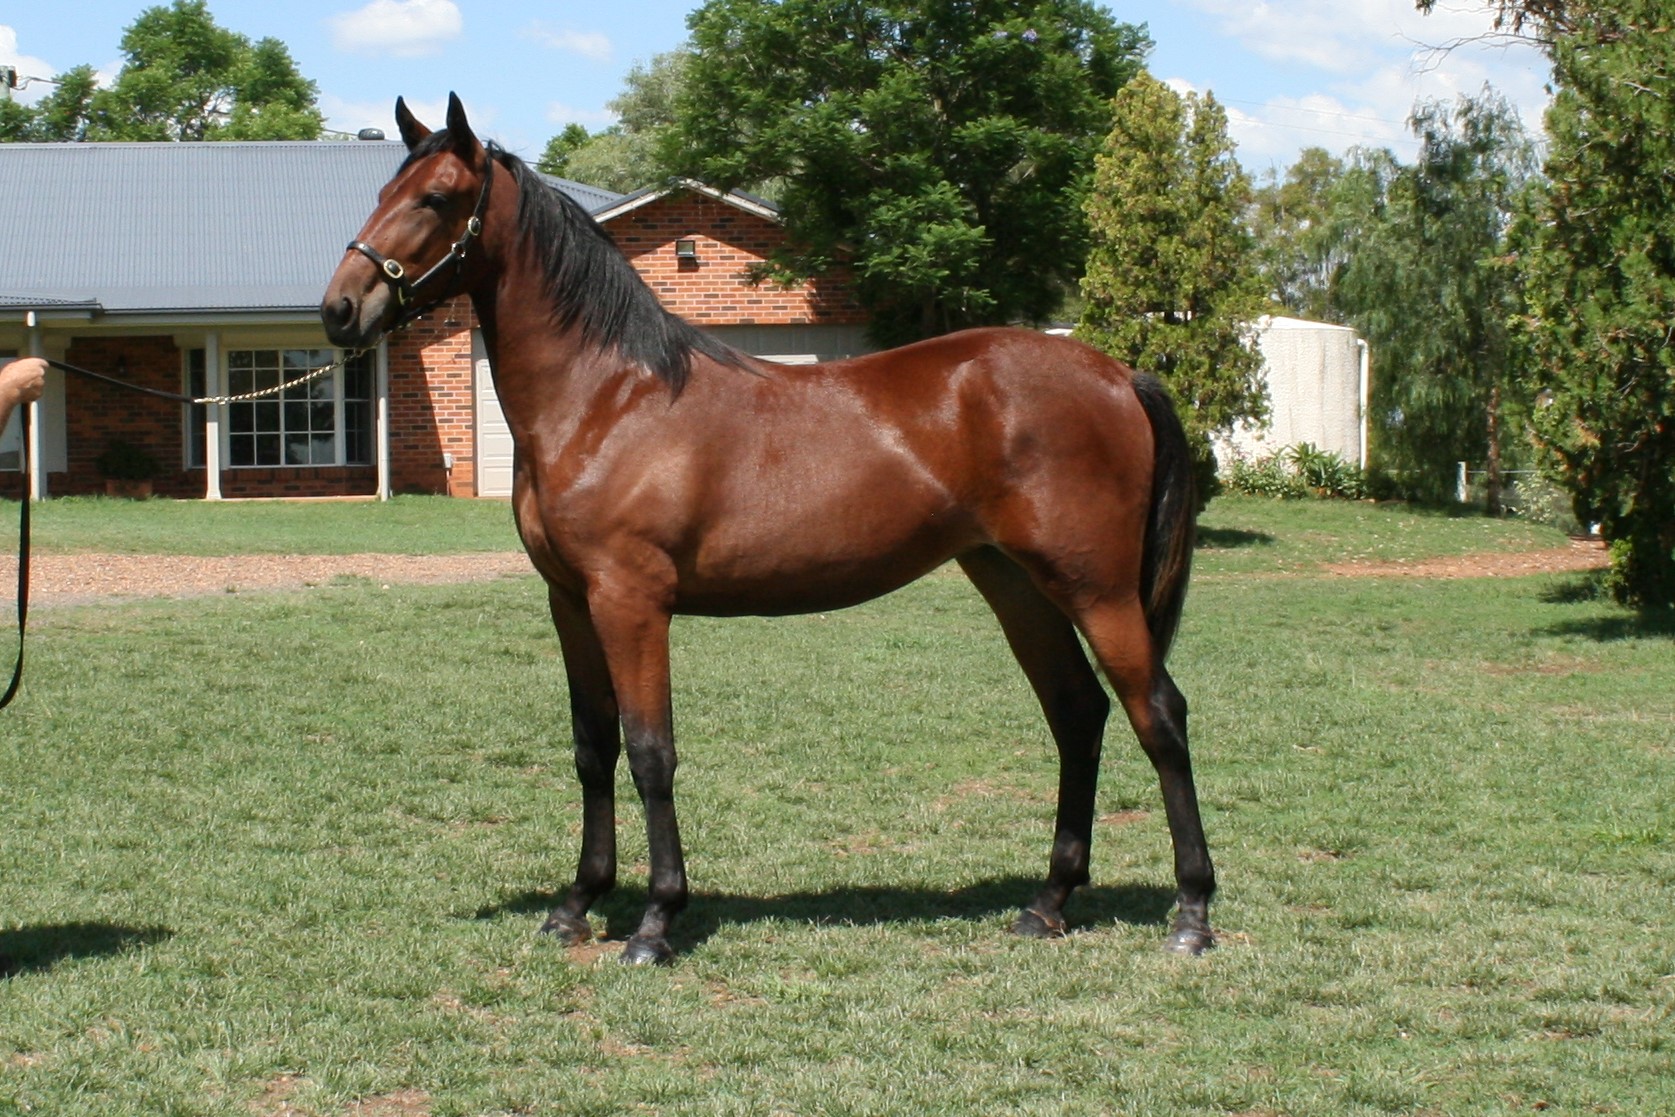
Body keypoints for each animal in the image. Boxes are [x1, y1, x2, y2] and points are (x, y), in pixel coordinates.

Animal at [321, 94, 1216, 965]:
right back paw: (1047, 904)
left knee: (1158, 714)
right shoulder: (570, 602)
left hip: (1095, 588)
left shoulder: (631, 602)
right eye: (384, 190)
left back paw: (1191, 913)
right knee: (1077, 712)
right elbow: (591, 748)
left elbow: (650, 751)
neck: (609, 398)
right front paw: (575, 905)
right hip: (1016, 583)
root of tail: (1117, 374)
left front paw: (654, 921)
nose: (339, 309)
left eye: (436, 197)